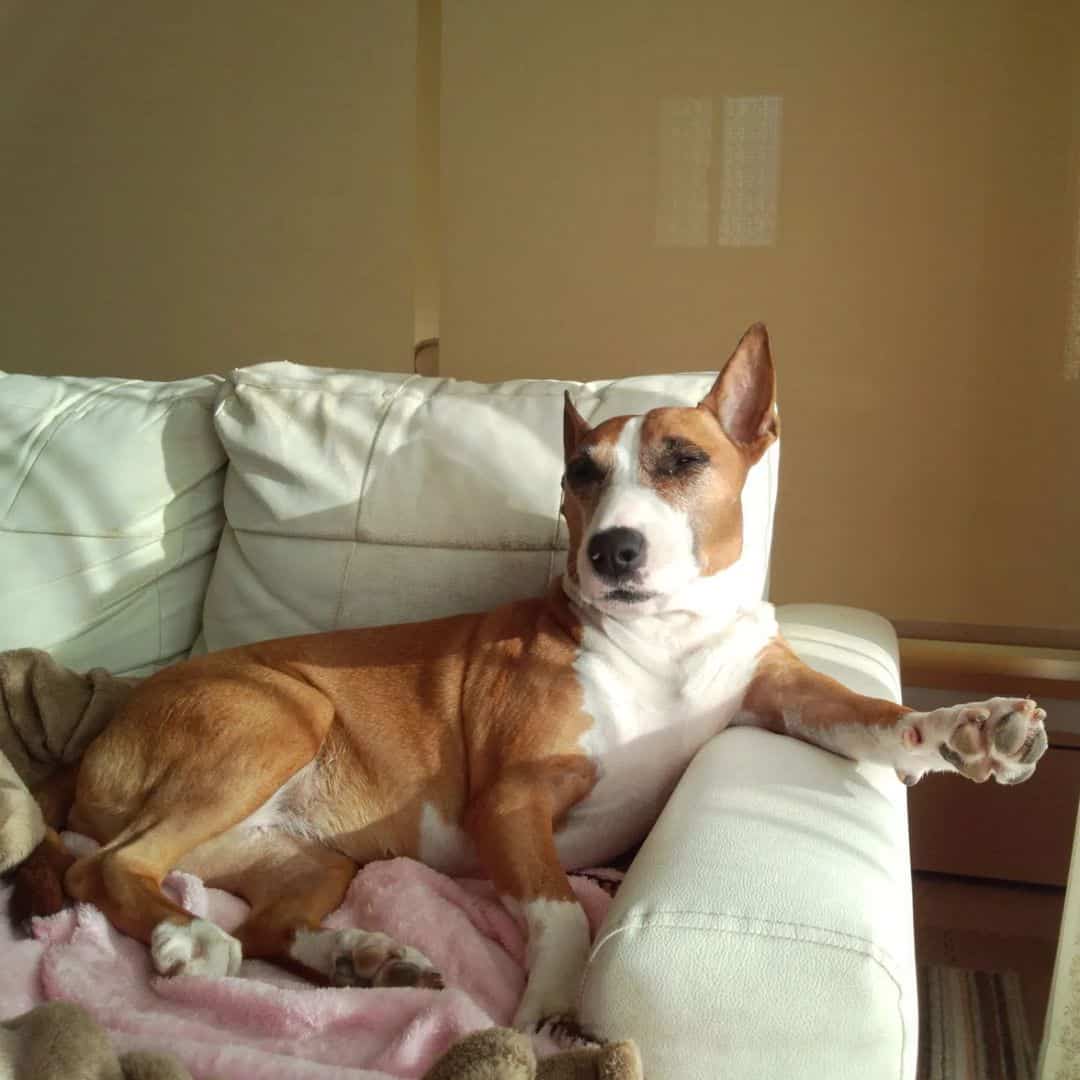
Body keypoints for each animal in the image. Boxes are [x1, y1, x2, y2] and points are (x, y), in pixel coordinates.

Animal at [14, 324, 1045, 1032]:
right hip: (283, 719)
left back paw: (360, 956)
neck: (661, 640)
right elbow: (562, 914)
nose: (612, 550)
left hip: (310, 850)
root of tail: (92, 744)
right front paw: (551, 1008)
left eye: (684, 460)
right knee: (114, 866)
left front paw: (974, 727)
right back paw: (195, 936)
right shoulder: (509, 803)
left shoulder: (780, 692)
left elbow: (872, 714)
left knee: (261, 918)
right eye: (580, 473)